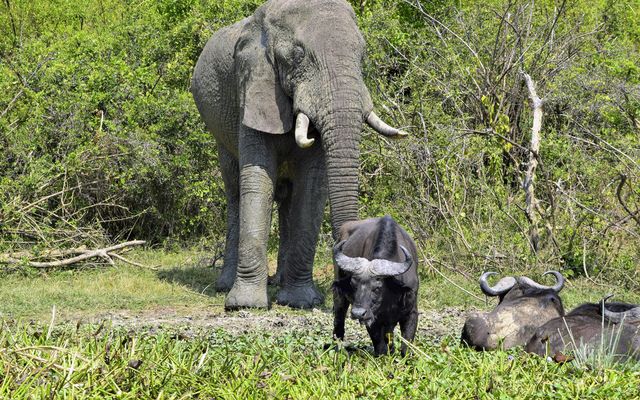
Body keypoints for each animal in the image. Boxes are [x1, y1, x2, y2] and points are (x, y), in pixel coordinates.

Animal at [192, 0, 408, 310]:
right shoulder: (252, 86)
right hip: (219, 130)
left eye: (362, 54)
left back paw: (280, 284)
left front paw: (301, 301)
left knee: (288, 199)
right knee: (234, 190)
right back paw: (225, 285)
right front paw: (245, 304)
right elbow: (257, 180)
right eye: (298, 55)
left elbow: (312, 188)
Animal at [330, 217, 420, 354]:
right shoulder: (372, 318)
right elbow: (380, 347)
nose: (358, 313)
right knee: (339, 321)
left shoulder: (411, 313)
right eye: (353, 285)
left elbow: (406, 345)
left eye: (377, 288)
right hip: (339, 297)